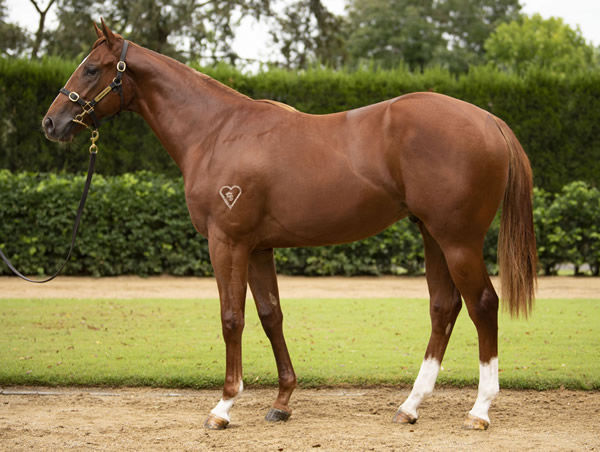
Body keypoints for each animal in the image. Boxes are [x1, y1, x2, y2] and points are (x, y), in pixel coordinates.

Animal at [44, 21, 536, 430]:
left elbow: (232, 318)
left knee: (483, 305)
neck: (216, 131)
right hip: (432, 235)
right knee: (443, 308)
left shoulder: (227, 243)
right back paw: (410, 406)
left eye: (91, 69)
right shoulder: (259, 248)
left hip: (458, 241)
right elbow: (270, 316)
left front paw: (223, 406)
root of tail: (488, 119)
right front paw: (281, 402)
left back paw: (479, 410)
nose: (51, 122)